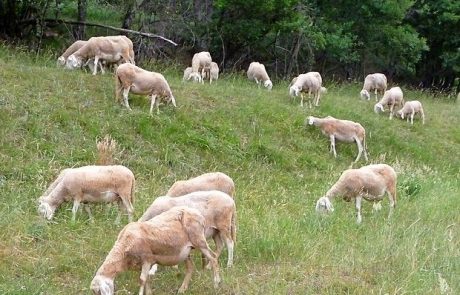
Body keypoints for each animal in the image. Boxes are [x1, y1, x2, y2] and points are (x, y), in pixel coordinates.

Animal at [90, 207, 221, 294]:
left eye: (99, 291)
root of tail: (198, 213)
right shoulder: (143, 264)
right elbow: (147, 279)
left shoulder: (147, 259)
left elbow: (142, 280)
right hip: (186, 251)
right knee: (190, 267)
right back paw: (182, 289)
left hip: (199, 240)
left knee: (213, 257)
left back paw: (216, 284)